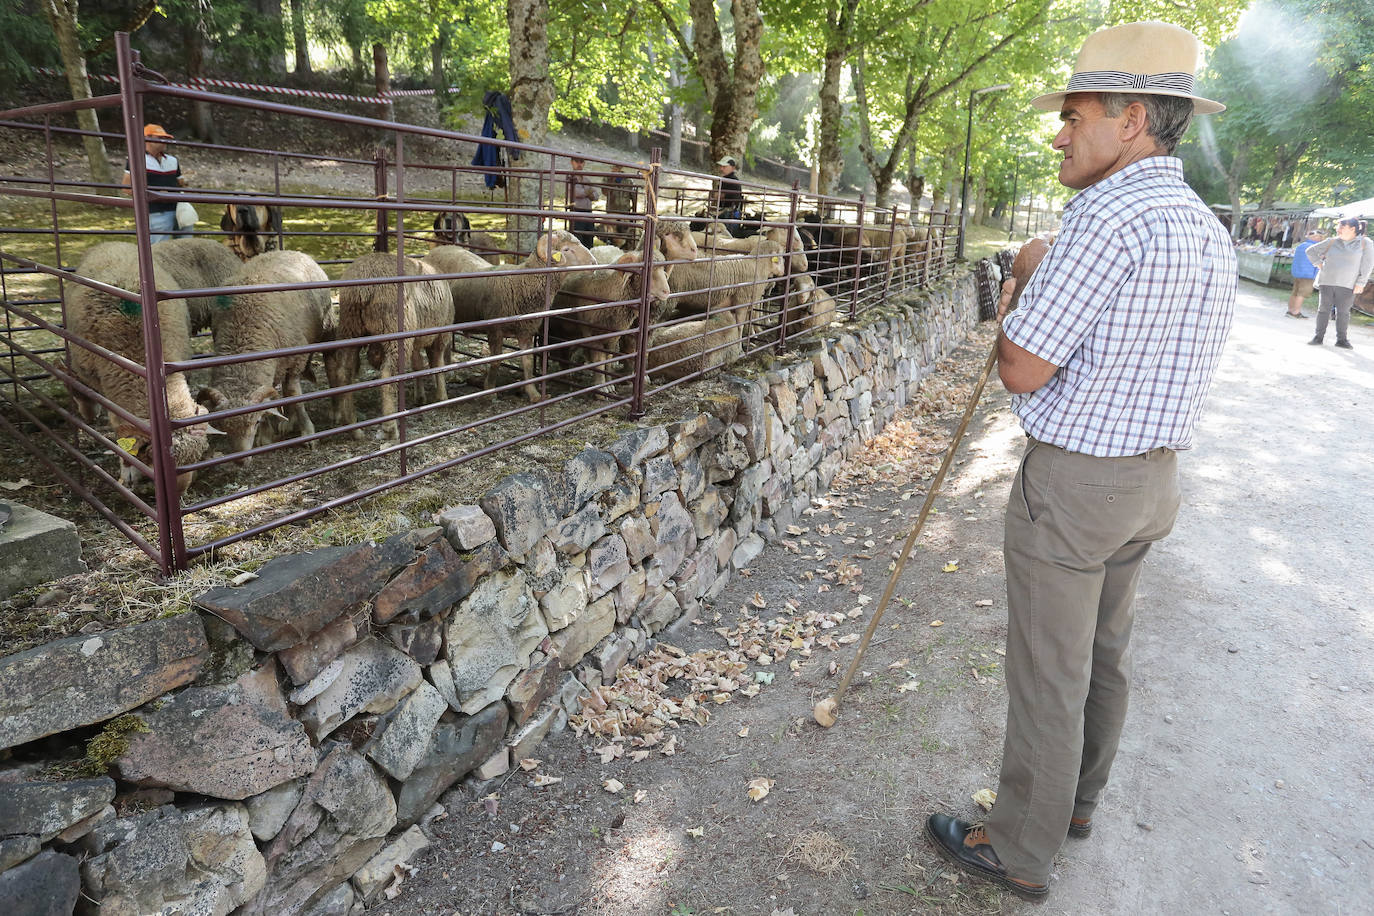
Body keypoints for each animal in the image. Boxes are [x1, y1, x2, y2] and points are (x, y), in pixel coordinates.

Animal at [195, 248, 342, 458]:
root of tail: (290, 251)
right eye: (224, 427)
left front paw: (308, 433)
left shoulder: (296, 359)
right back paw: (288, 421)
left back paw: (335, 410)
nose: (241, 458)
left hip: (326, 329)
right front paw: (266, 437)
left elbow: (295, 395)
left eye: (254, 422)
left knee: (330, 367)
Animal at [336, 248, 456, 439]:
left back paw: (354, 428)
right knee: (387, 375)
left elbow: (418, 365)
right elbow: (437, 365)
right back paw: (390, 427)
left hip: (350, 329)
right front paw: (441, 397)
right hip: (395, 331)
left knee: (343, 373)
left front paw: (420, 396)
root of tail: (361, 288)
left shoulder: (417, 339)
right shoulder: (440, 335)